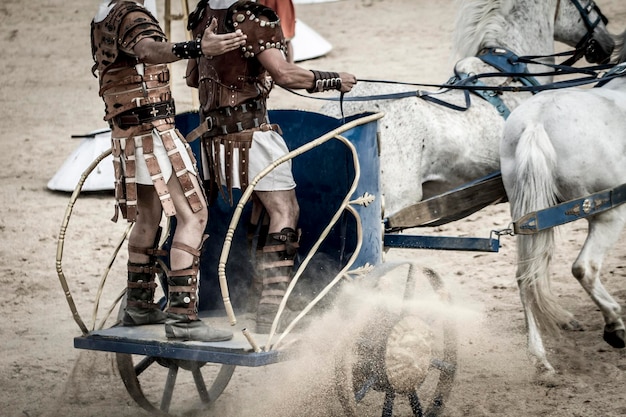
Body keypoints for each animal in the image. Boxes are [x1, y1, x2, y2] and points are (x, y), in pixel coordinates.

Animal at [500, 30, 626, 372]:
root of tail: (536, 122)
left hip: (529, 215)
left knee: (526, 277)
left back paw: (540, 358)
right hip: (609, 213)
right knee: (585, 267)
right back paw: (614, 324)